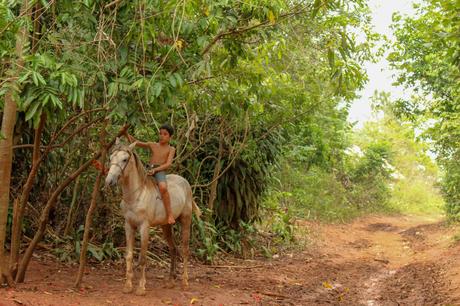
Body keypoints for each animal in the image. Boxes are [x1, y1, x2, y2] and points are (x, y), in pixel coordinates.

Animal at [105, 140, 200, 296]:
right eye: (111, 157)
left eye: (124, 159)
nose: (109, 181)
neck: (136, 195)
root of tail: (185, 183)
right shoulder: (128, 225)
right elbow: (129, 255)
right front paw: (128, 286)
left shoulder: (144, 226)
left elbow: (143, 258)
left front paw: (141, 288)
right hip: (166, 226)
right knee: (173, 249)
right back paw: (170, 281)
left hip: (186, 220)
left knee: (185, 250)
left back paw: (185, 282)